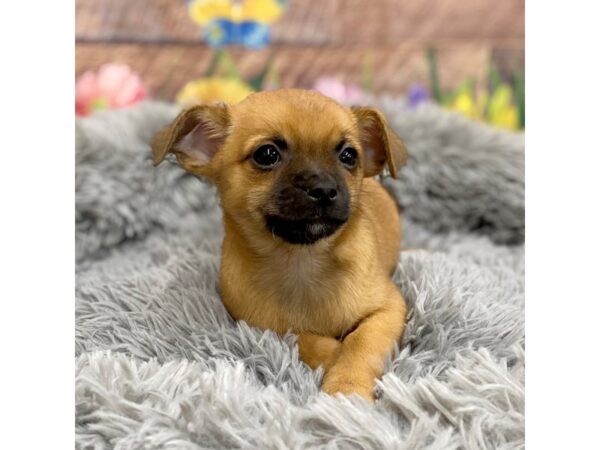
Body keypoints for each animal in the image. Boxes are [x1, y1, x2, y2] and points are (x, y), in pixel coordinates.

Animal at [152, 89, 410, 400]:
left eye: (349, 156)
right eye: (266, 154)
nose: (324, 189)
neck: (302, 261)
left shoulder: (388, 309)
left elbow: (362, 344)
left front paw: (346, 387)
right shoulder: (260, 324)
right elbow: (303, 338)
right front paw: (332, 354)